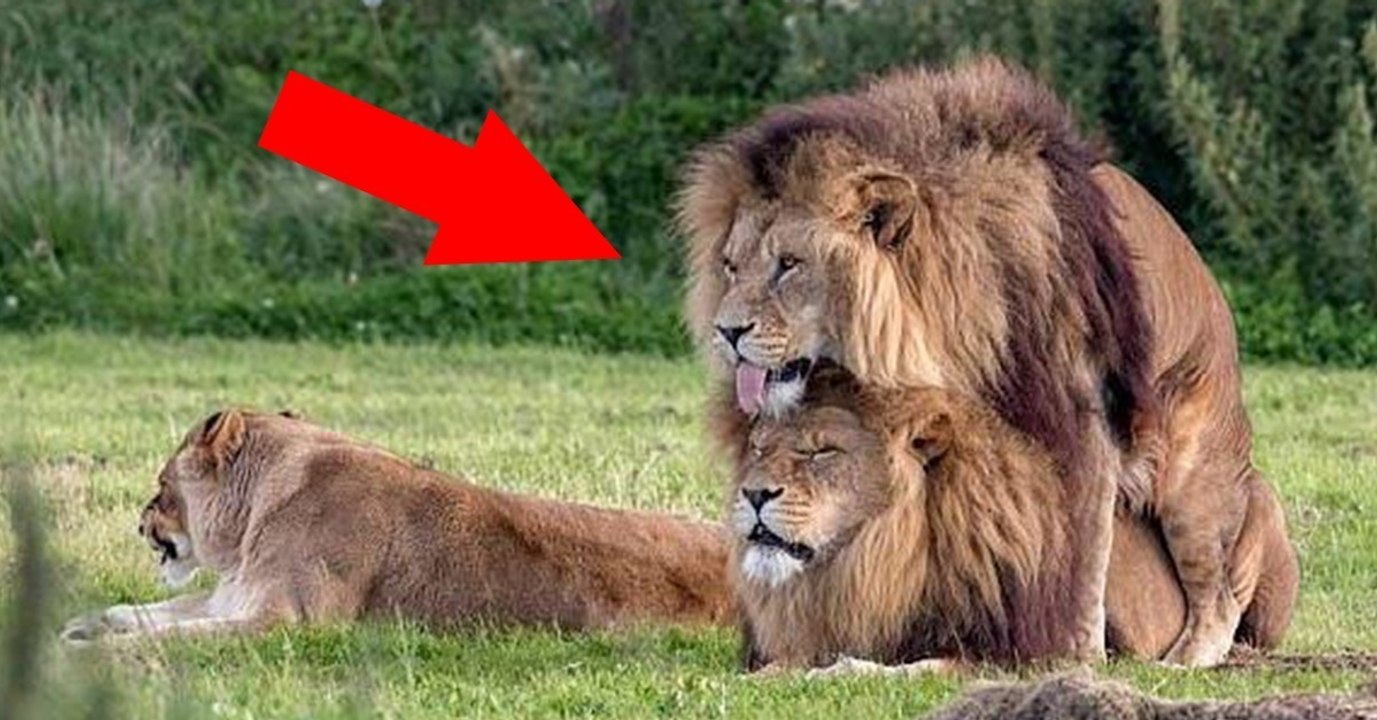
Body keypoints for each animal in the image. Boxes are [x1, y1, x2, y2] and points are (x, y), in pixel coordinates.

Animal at [61, 409, 732, 642]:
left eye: (160, 487)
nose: (140, 523)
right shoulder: (232, 596)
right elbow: (142, 613)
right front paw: (83, 624)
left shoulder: (291, 621)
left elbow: (171, 638)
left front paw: (94, 652)